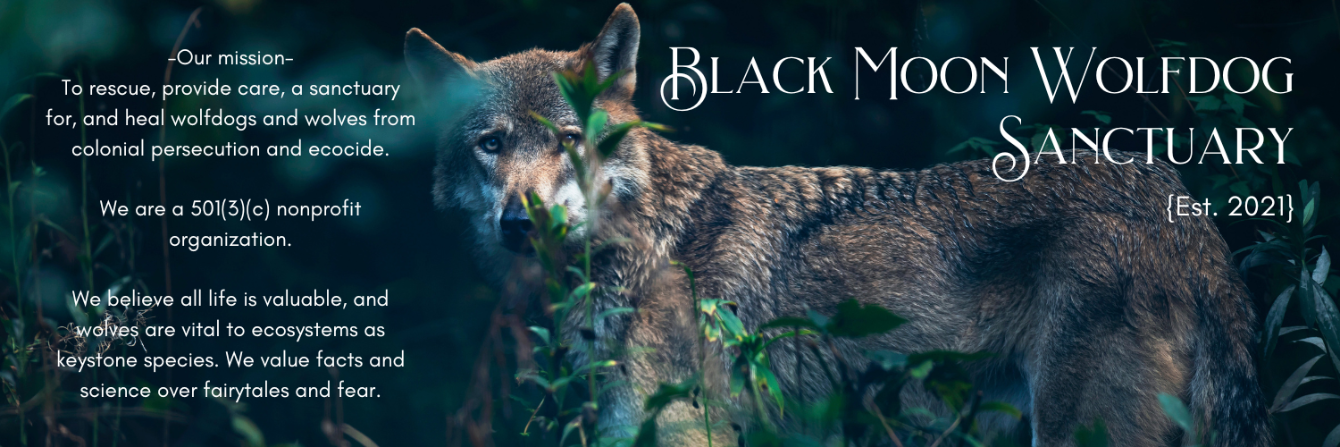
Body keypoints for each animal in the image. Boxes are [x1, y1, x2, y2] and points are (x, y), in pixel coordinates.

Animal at [405, 4, 1270, 446]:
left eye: (566, 140)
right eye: (491, 145)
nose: (522, 221)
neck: (642, 246)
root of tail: (1182, 209)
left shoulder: (685, 430)